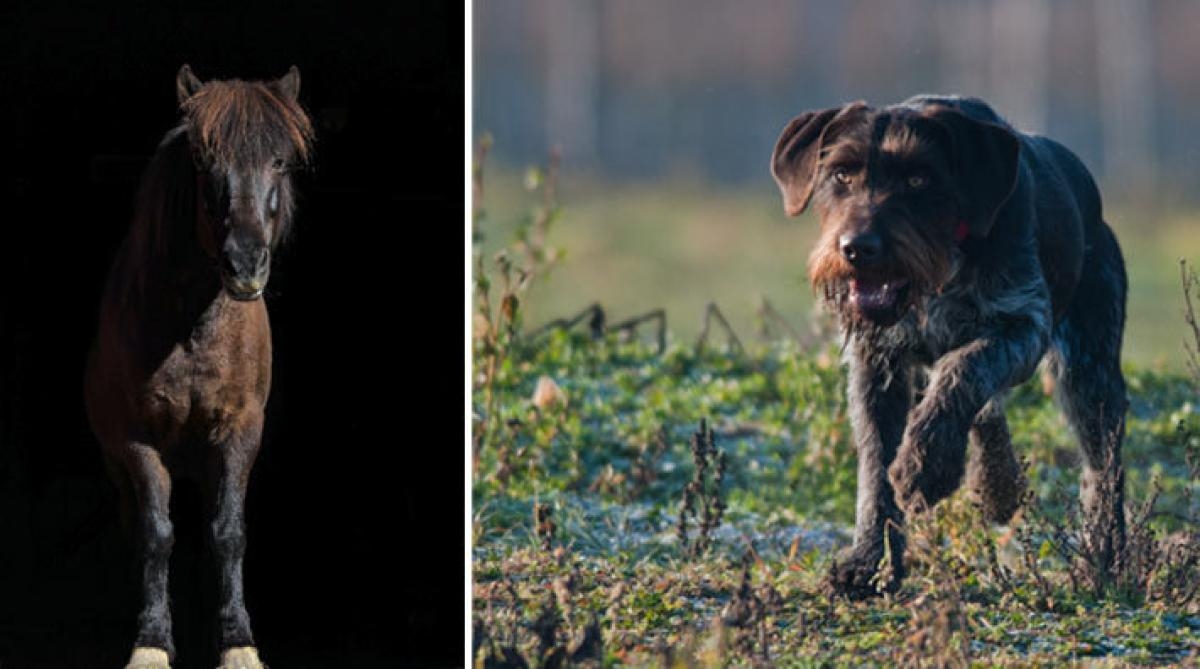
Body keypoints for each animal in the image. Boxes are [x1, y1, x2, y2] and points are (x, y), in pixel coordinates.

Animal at [87, 64, 314, 669]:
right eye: (203, 160)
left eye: (280, 160)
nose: (245, 263)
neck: (192, 326)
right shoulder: (137, 437)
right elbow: (155, 534)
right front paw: (150, 642)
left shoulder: (239, 429)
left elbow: (228, 533)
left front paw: (237, 642)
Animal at [772, 92, 1128, 597]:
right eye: (841, 174)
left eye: (919, 178)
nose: (857, 247)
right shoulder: (875, 364)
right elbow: (875, 465)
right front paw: (868, 562)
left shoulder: (1021, 323)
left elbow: (964, 370)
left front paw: (928, 465)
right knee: (988, 415)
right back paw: (997, 485)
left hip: (1089, 372)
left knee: (1103, 466)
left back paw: (1103, 558)